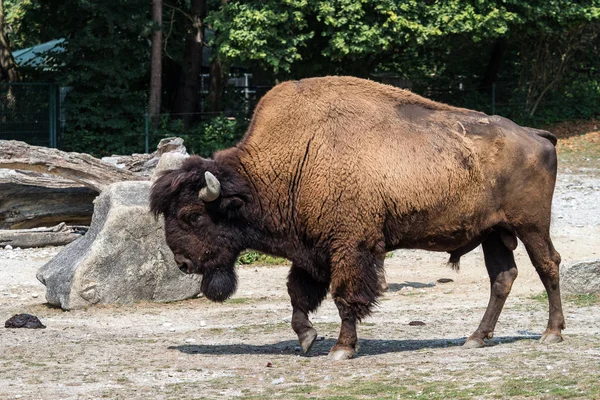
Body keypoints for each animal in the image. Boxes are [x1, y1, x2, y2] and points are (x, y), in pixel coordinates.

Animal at [150, 75, 564, 360]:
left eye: (193, 215)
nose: (183, 263)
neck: (290, 161)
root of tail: (537, 136)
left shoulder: (350, 247)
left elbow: (345, 297)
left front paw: (341, 349)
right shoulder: (311, 250)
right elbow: (298, 294)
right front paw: (307, 338)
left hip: (530, 226)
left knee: (548, 265)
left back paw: (552, 333)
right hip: (494, 232)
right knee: (502, 278)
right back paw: (475, 338)